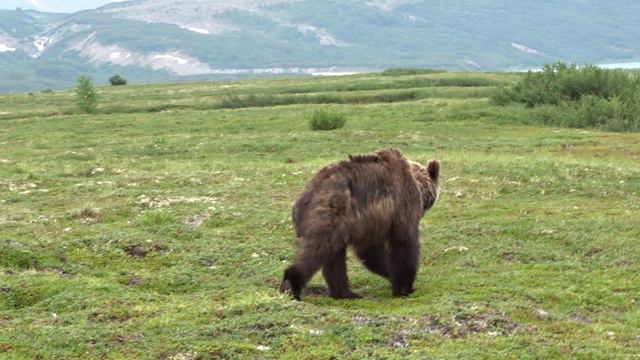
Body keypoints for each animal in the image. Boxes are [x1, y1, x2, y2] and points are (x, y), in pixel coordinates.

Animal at [280, 148, 440, 300]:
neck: (416, 182)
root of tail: (302, 199)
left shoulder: (370, 222)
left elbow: (370, 251)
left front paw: (391, 274)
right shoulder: (402, 205)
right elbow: (404, 244)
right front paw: (405, 286)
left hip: (338, 223)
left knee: (334, 257)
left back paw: (345, 293)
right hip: (329, 214)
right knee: (317, 249)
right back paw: (292, 283)